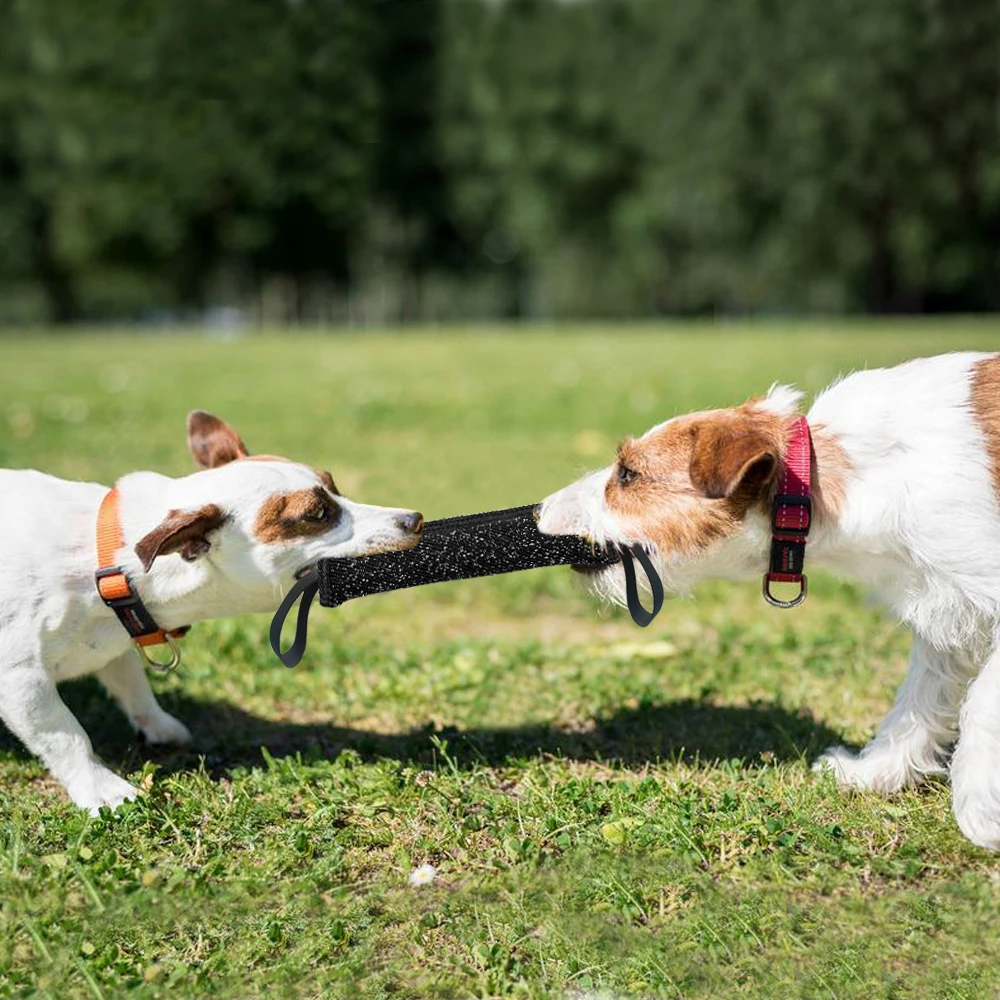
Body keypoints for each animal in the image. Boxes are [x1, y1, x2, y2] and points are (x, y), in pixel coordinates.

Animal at [0, 412, 422, 812]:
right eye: (317, 514)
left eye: (335, 486)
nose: (413, 519)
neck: (107, 568)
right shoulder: (22, 681)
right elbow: (65, 734)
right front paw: (100, 787)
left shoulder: (114, 646)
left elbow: (133, 687)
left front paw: (159, 725)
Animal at [544, 354, 1000, 852]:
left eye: (628, 474)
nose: (540, 510)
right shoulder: (944, 613)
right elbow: (918, 700)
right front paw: (871, 774)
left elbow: (979, 703)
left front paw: (978, 811)